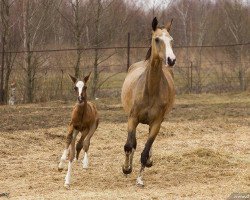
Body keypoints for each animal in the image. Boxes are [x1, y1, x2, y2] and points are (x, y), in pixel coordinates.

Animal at [121, 16, 176, 186]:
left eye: (171, 40)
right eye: (157, 39)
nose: (171, 60)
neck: (150, 90)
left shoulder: (157, 122)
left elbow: (145, 151)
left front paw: (140, 179)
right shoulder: (132, 118)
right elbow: (129, 145)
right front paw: (126, 169)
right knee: (133, 143)